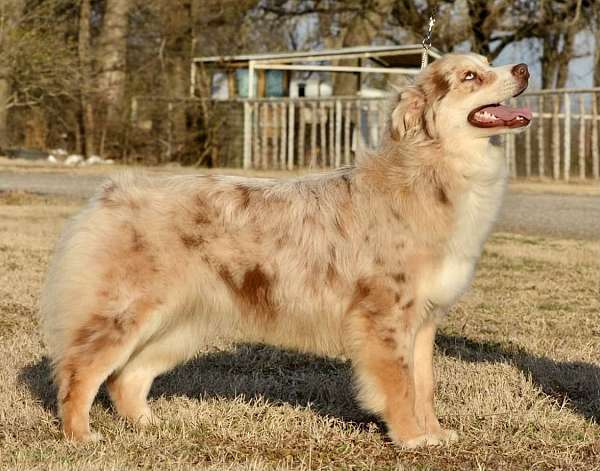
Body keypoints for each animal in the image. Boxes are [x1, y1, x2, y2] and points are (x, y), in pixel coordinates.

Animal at [38, 53, 528, 448]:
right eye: (471, 75)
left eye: (490, 63)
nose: (523, 69)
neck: (430, 172)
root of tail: (110, 194)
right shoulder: (385, 317)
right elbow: (400, 385)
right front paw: (410, 438)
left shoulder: (424, 321)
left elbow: (424, 385)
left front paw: (433, 433)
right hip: (123, 313)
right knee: (80, 371)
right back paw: (80, 436)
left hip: (180, 324)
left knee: (127, 377)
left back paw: (149, 425)